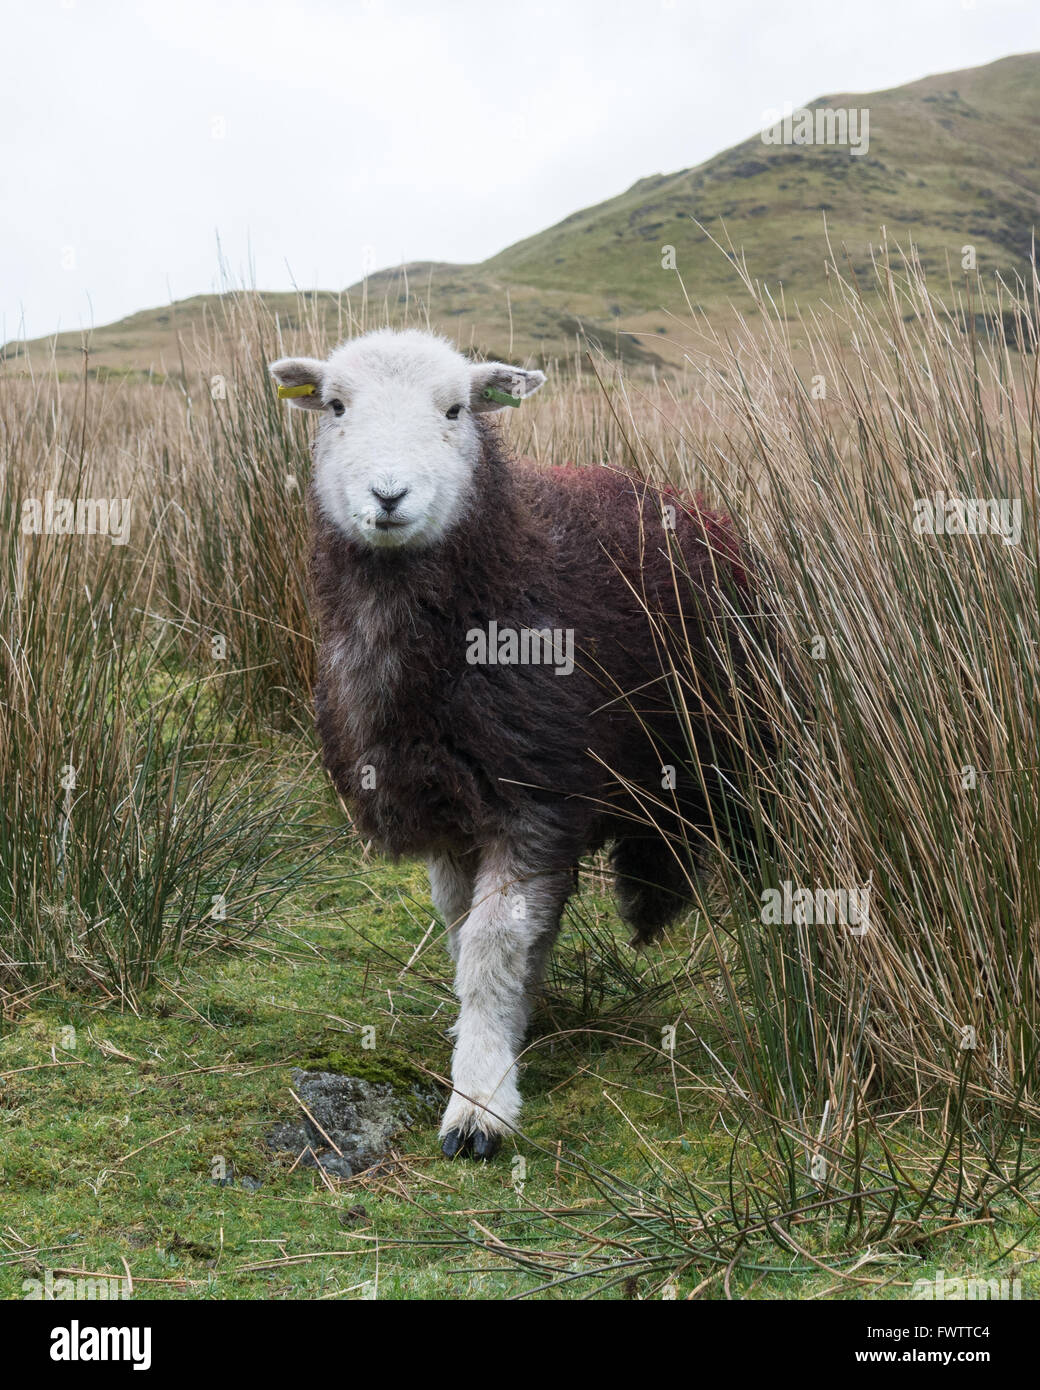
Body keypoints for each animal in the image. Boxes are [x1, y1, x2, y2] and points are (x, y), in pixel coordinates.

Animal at [268, 330, 756, 1156]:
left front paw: (479, 1102)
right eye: (334, 406)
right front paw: (497, 1038)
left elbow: (492, 948)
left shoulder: (534, 797)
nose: (389, 496)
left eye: (455, 409)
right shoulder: (444, 808)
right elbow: (466, 934)